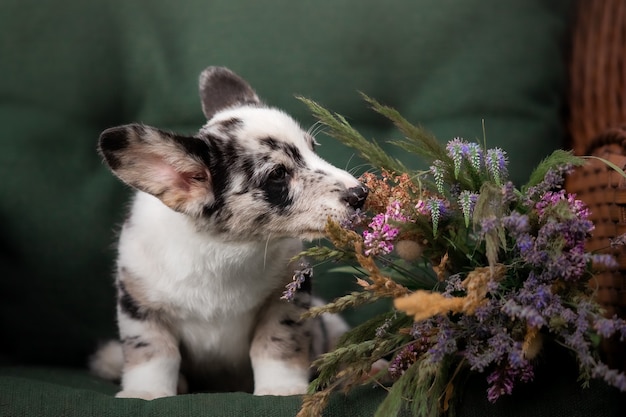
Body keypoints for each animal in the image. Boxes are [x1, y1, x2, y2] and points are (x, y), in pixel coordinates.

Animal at [90, 66, 368, 398]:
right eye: (278, 174)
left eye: (313, 149)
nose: (361, 194)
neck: (225, 249)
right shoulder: (140, 305)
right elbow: (154, 355)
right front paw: (146, 393)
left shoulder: (285, 300)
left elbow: (276, 345)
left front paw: (281, 388)